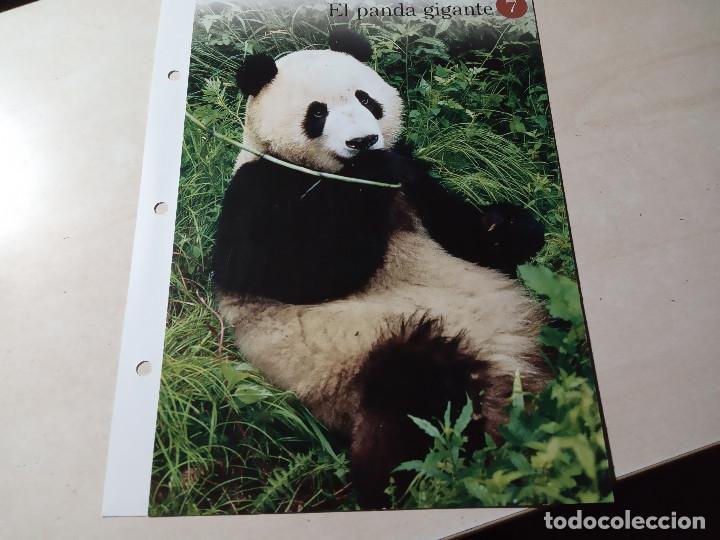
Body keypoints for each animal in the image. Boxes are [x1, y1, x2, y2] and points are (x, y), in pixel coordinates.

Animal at [212, 29, 551, 507]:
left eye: (366, 99)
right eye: (317, 113)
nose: (363, 142)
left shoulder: (414, 183)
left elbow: (464, 232)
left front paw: (512, 227)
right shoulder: (260, 186)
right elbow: (291, 271)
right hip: (358, 357)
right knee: (416, 395)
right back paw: (411, 483)